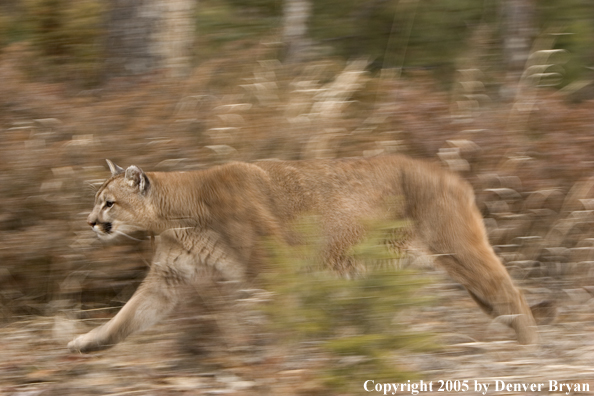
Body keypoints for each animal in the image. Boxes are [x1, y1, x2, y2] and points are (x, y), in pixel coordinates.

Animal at [68, 156, 536, 352]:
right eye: (97, 201)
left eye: (109, 203)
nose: (89, 221)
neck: (180, 211)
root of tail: (453, 175)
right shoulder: (168, 279)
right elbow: (127, 317)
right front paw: (86, 343)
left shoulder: (275, 270)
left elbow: (285, 322)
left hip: (458, 249)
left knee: (510, 290)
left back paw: (529, 345)